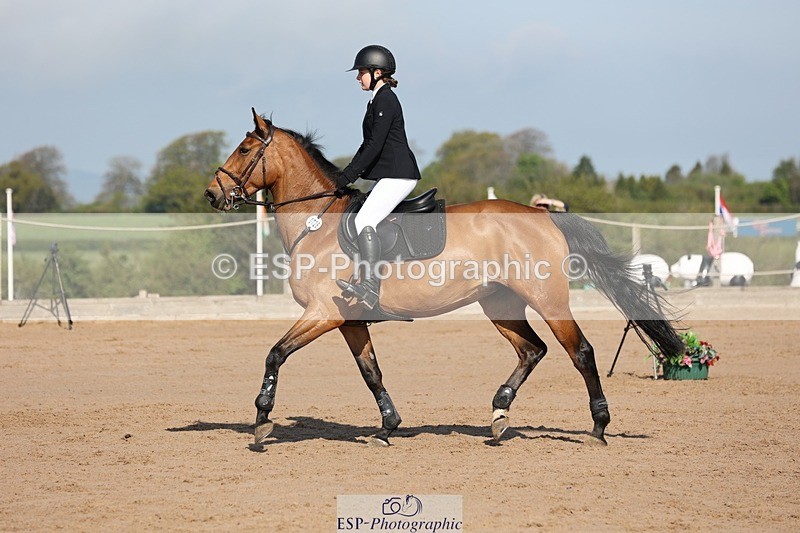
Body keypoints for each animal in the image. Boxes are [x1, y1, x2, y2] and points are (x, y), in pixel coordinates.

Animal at [204, 109, 683, 447]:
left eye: (244, 150)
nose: (212, 194)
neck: (317, 223)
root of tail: (545, 216)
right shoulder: (349, 320)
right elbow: (371, 373)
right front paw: (388, 427)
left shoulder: (323, 313)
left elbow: (274, 355)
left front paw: (262, 421)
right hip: (500, 303)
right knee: (532, 350)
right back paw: (499, 414)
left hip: (548, 300)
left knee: (579, 351)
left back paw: (598, 426)